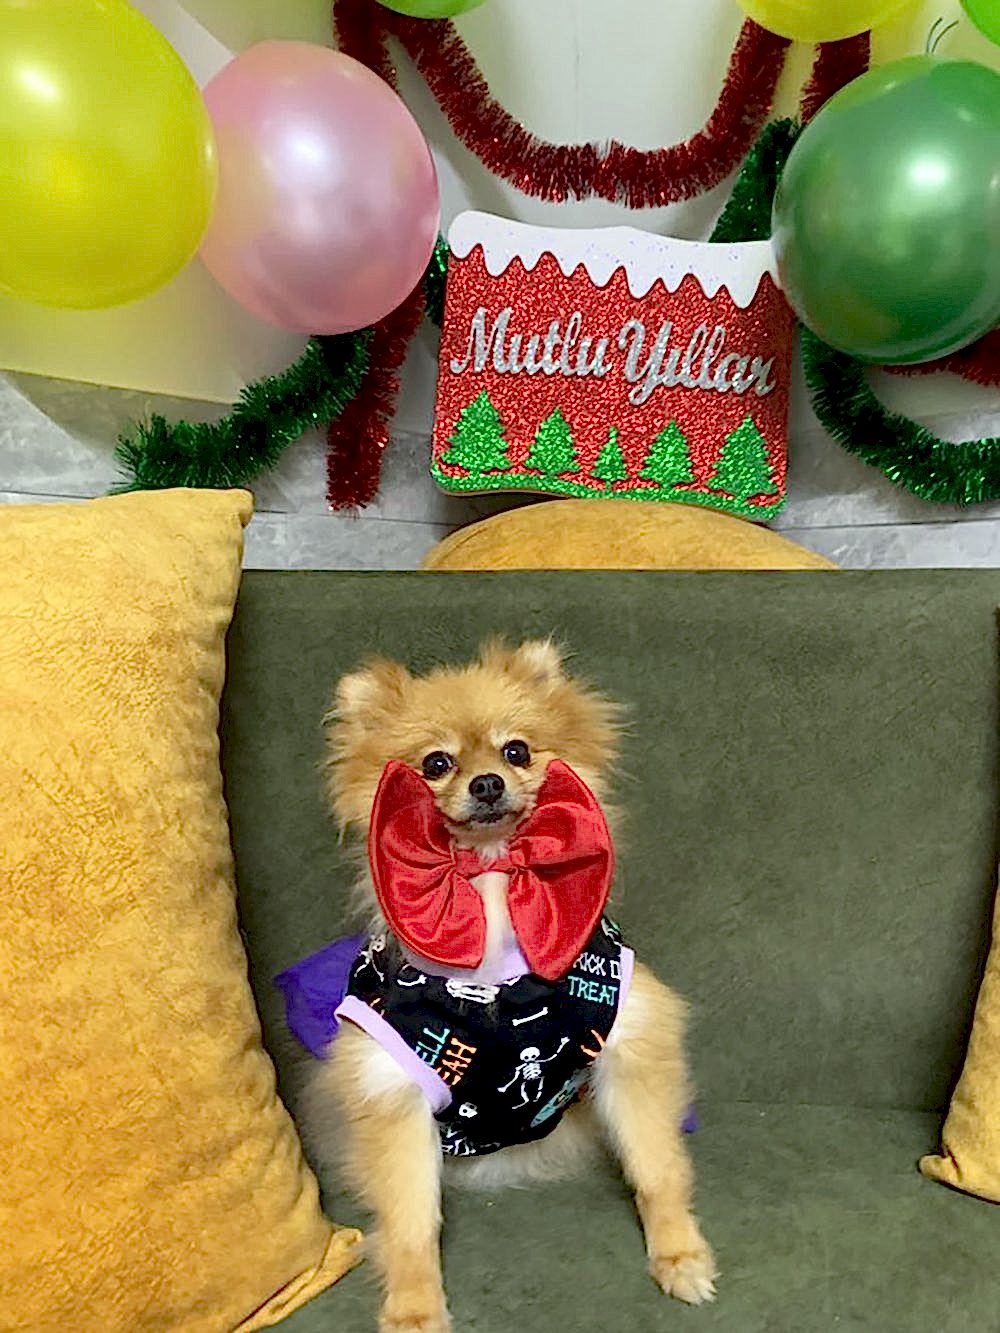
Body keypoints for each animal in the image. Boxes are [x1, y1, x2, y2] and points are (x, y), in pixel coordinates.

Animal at [306, 638, 715, 1333]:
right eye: (437, 763)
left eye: (516, 751)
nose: (488, 782)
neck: (496, 886)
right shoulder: (392, 1088)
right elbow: (412, 1223)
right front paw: (414, 1307)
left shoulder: (632, 1043)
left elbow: (655, 1167)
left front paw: (679, 1254)